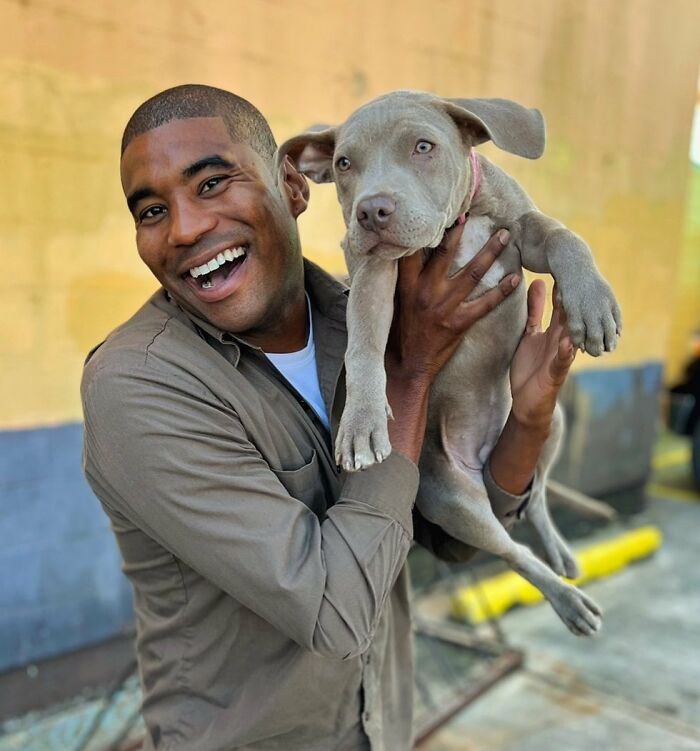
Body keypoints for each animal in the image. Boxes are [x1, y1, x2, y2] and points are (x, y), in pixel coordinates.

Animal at [276, 91, 620, 636]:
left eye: (423, 146)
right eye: (344, 163)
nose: (371, 211)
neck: (460, 222)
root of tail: (481, 456)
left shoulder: (524, 229)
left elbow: (564, 236)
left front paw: (591, 302)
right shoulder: (375, 271)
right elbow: (364, 343)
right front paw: (362, 420)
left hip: (553, 422)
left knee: (536, 496)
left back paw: (562, 557)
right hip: (452, 500)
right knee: (513, 549)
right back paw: (567, 599)